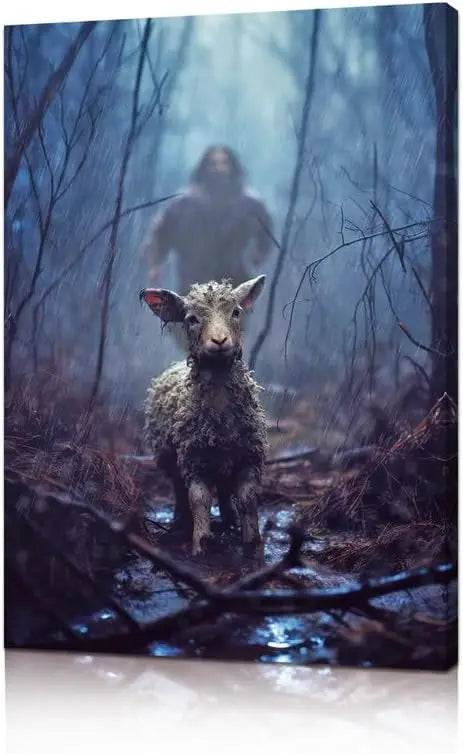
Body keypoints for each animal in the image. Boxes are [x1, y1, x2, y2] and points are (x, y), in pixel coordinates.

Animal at [140, 276, 268, 556]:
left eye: (236, 312)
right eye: (191, 319)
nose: (219, 341)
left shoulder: (249, 457)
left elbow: (248, 497)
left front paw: (253, 544)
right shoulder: (194, 460)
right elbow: (199, 498)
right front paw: (200, 543)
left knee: (224, 490)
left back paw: (230, 519)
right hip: (171, 458)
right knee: (180, 490)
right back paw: (181, 520)